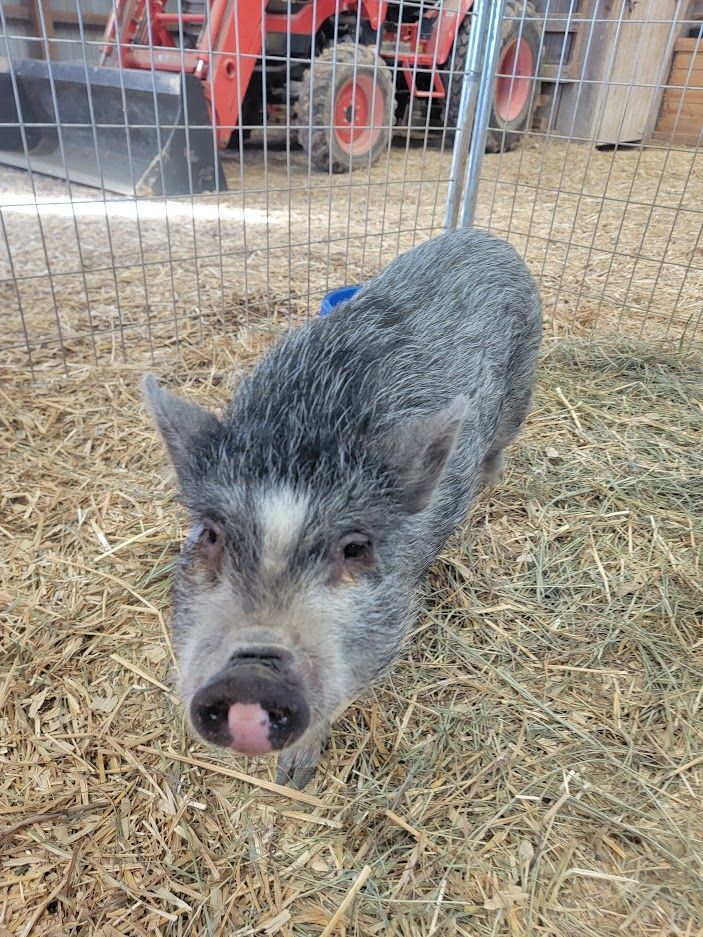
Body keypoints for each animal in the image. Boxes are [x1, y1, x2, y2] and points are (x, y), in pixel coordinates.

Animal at [143, 227, 542, 788]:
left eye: (355, 548)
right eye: (211, 534)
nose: (252, 671)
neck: (304, 430)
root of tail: (484, 235)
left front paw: (293, 779)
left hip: (523, 383)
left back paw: (491, 479)